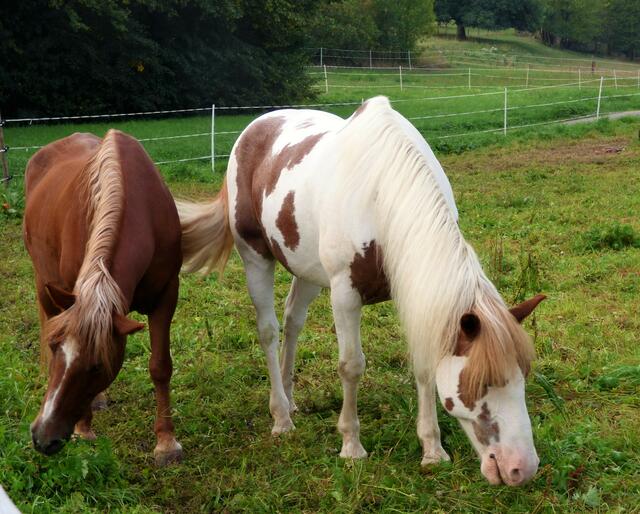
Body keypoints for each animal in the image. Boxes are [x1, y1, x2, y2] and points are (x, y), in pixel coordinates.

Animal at [24, 130, 183, 466]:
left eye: (97, 366)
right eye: (55, 348)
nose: (43, 439)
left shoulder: (166, 295)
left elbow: (160, 366)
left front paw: (166, 442)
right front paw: (84, 429)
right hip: (44, 285)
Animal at [176, 96, 545, 486]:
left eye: (524, 374)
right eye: (482, 382)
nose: (522, 468)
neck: (381, 193)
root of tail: (254, 129)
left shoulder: (415, 296)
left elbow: (424, 367)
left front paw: (432, 450)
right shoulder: (344, 295)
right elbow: (351, 366)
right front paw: (351, 446)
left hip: (307, 270)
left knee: (293, 321)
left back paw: (291, 399)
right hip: (255, 258)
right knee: (269, 331)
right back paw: (281, 416)